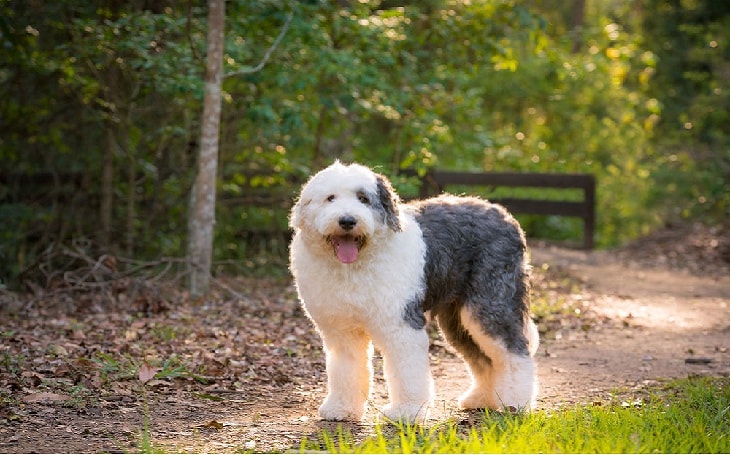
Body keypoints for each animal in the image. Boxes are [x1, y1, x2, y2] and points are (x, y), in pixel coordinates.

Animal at [288, 162, 536, 422]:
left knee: (515, 353)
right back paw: (481, 399)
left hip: (490, 304)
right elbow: (346, 370)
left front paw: (406, 411)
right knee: (484, 359)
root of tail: (506, 217)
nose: (347, 221)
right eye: (330, 198)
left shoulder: (400, 324)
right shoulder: (342, 331)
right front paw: (341, 408)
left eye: (363, 198)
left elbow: (406, 371)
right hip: (458, 320)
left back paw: (515, 403)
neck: (353, 267)